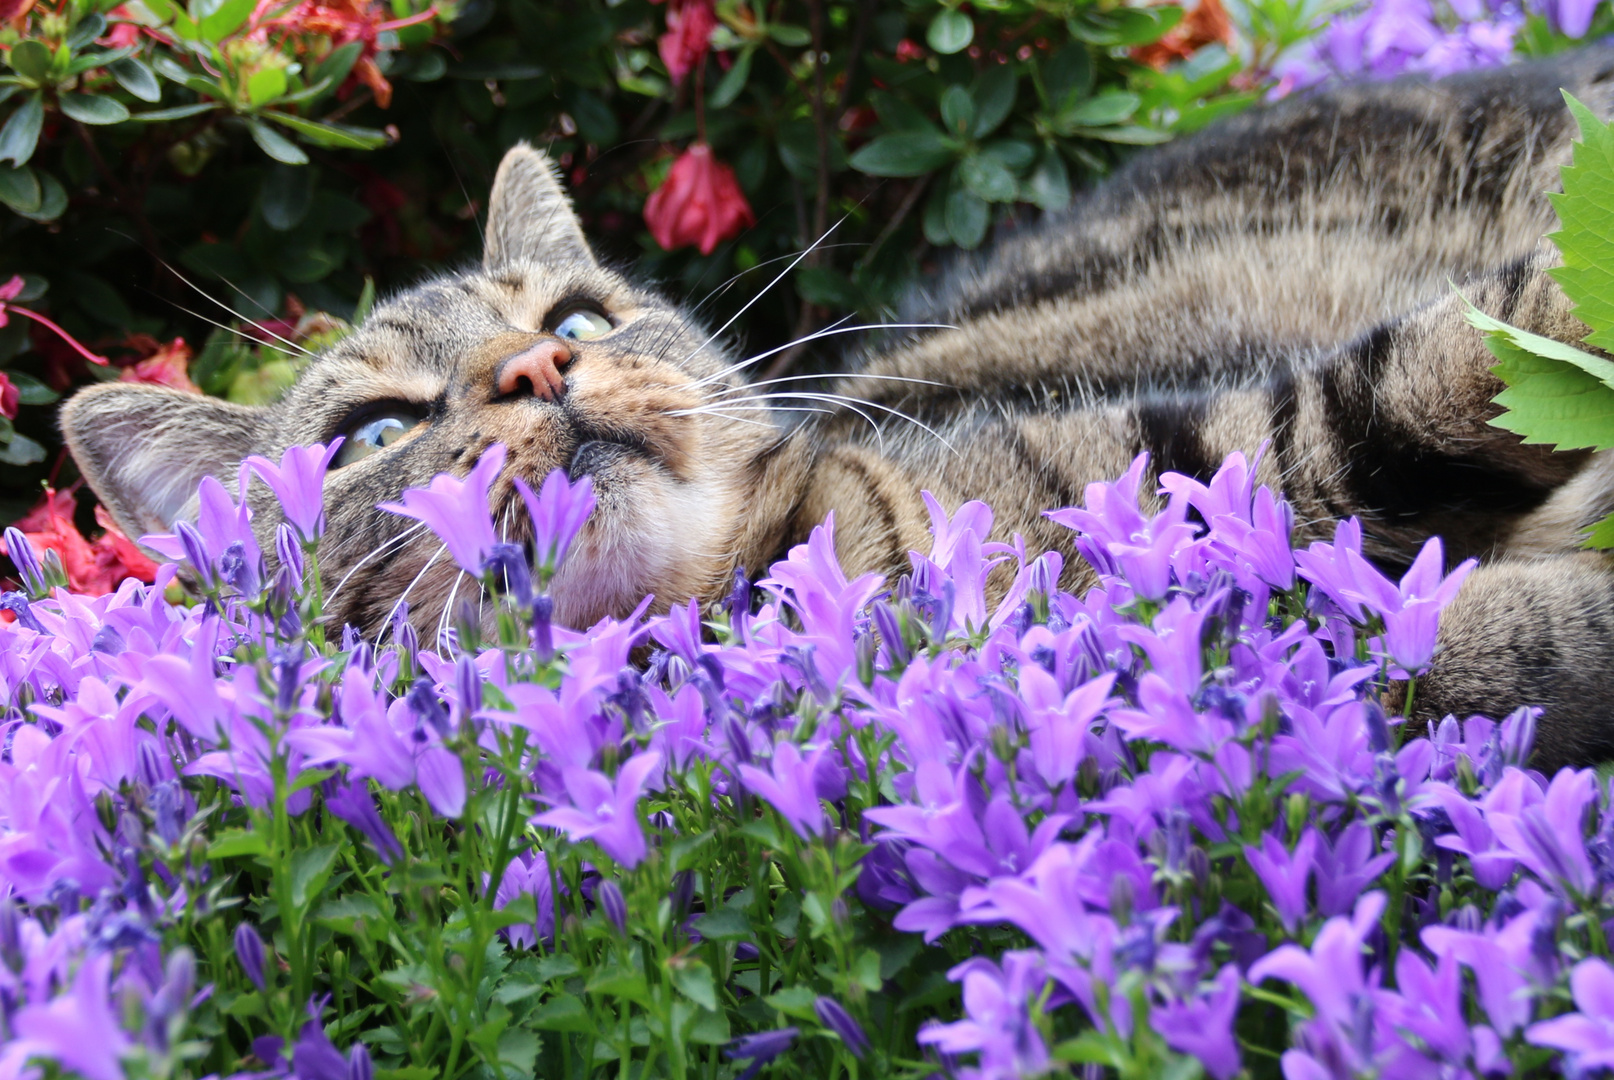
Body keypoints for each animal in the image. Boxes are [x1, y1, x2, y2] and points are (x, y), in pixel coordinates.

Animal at [62, 50, 1614, 771]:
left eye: (573, 323)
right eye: (374, 437)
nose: (539, 374)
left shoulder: (1205, 452)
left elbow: (1454, 355)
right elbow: (1449, 656)